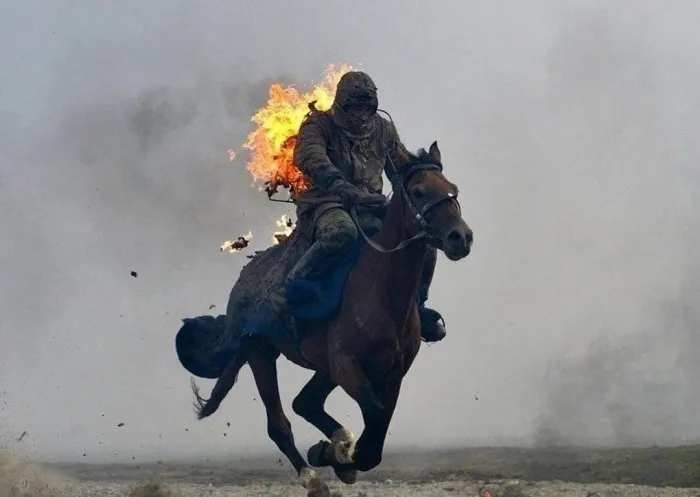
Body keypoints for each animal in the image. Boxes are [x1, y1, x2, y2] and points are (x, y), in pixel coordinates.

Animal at [188, 141, 473, 497]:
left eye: (452, 189)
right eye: (419, 192)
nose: (461, 238)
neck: (379, 293)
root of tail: (244, 281)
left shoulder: (393, 372)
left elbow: (379, 426)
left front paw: (335, 454)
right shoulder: (347, 365)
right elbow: (373, 422)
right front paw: (336, 456)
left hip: (321, 368)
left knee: (305, 403)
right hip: (261, 354)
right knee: (279, 423)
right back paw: (313, 477)